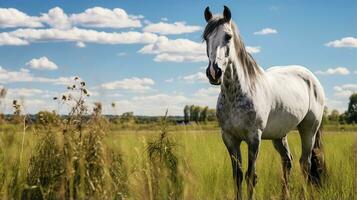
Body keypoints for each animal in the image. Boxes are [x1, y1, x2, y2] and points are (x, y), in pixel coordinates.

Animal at [203, 5, 326, 199]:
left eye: (228, 36)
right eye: (205, 37)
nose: (214, 72)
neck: (236, 94)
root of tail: (312, 79)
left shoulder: (254, 138)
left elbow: (251, 176)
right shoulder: (229, 138)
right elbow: (237, 175)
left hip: (309, 130)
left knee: (305, 164)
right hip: (279, 135)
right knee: (287, 162)